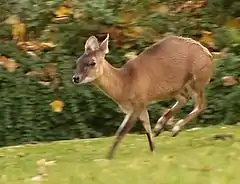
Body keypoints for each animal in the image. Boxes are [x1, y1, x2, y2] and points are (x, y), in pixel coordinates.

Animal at [71, 33, 214, 159]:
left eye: (92, 62)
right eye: (77, 61)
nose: (75, 78)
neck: (124, 84)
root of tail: (208, 54)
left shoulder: (138, 102)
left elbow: (121, 132)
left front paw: (107, 158)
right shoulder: (136, 106)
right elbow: (146, 130)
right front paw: (154, 151)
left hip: (197, 79)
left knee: (201, 104)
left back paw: (175, 129)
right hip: (176, 87)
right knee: (184, 99)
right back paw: (160, 127)